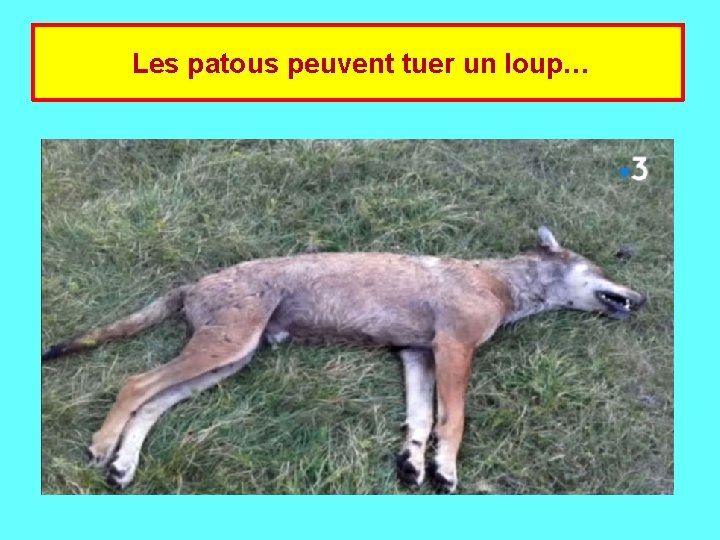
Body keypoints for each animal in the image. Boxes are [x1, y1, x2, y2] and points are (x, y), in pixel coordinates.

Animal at [42, 226, 645, 492]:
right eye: (600, 269)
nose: (642, 299)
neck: (500, 282)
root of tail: (192, 284)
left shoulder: (417, 355)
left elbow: (420, 421)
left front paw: (412, 464)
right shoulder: (453, 348)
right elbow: (453, 421)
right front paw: (444, 469)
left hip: (226, 360)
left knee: (151, 402)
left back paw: (124, 465)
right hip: (223, 351)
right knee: (133, 383)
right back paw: (103, 447)